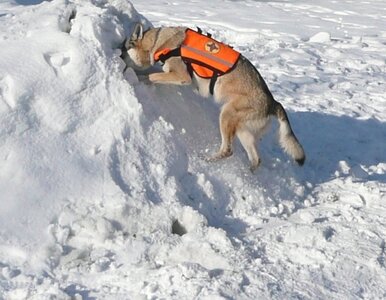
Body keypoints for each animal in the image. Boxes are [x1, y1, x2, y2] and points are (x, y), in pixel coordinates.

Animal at [125, 23, 306, 171]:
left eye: (123, 48)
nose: (119, 55)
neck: (159, 41)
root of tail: (274, 102)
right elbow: (153, 74)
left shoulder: (182, 76)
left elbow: (151, 76)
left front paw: (134, 76)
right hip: (242, 131)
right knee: (255, 159)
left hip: (226, 115)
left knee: (228, 150)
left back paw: (206, 160)